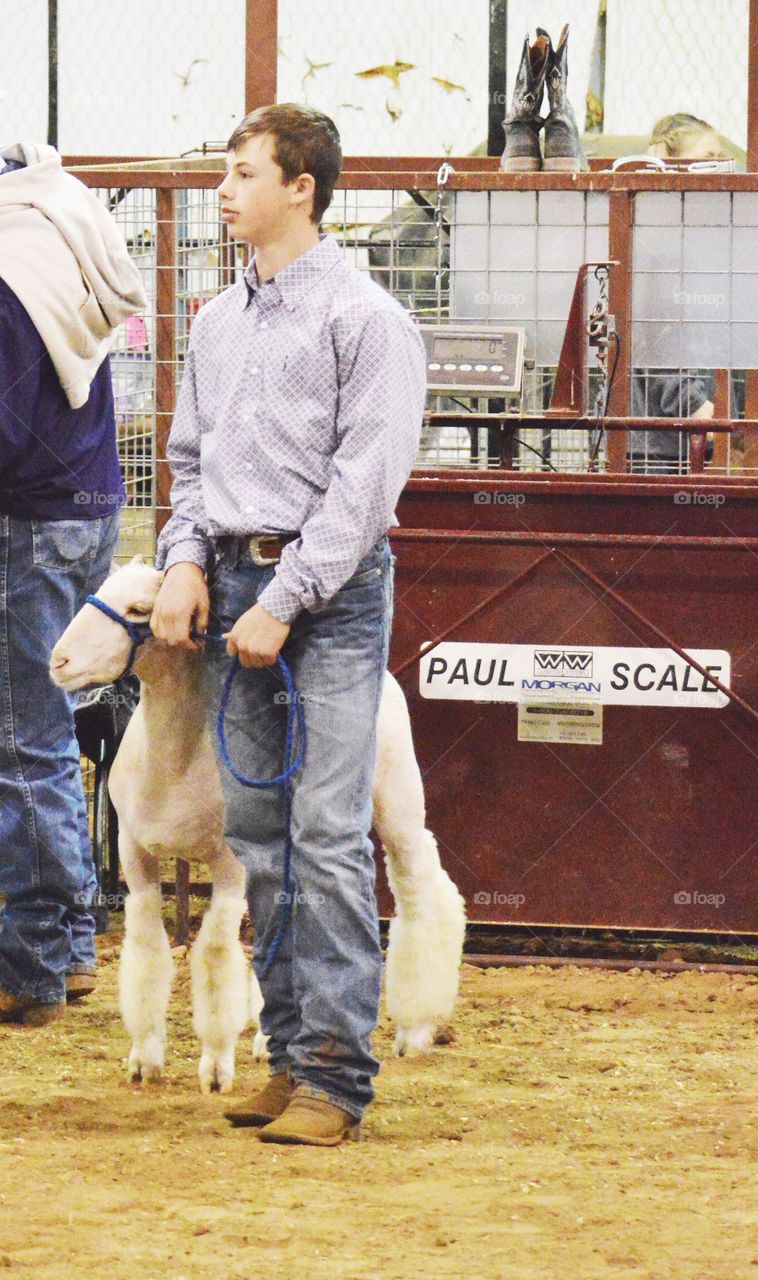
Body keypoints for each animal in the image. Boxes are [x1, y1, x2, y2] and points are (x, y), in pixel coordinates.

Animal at [50, 560, 466, 1090]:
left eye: (140, 609)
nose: (58, 662)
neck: (177, 759)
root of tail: (385, 677)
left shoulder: (231, 863)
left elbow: (214, 952)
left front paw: (214, 1067)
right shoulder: (134, 852)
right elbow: (146, 946)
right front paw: (145, 1058)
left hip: (397, 798)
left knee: (424, 890)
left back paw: (415, 1028)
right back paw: (270, 1041)